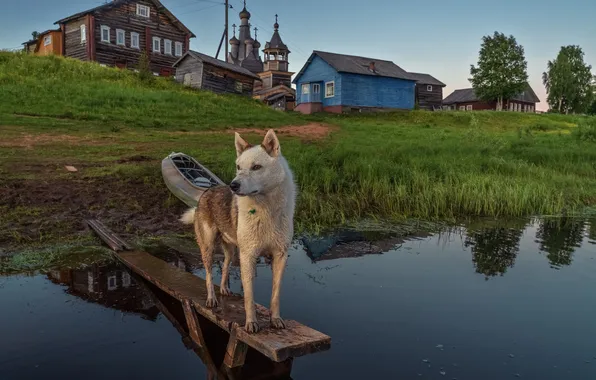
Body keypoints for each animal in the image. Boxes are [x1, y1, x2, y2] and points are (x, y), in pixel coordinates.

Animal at [178, 130, 296, 332]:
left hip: (232, 250)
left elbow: (275, 293)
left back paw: (224, 289)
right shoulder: (248, 256)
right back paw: (212, 299)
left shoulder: (280, 255)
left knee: (225, 266)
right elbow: (249, 296)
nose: (233, 185)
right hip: (208, 247)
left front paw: (276, 319)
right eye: (238, 167)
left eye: (256, 167)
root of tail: (206, 193)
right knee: (209, 275)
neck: (266, 209)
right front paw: (251, 323)